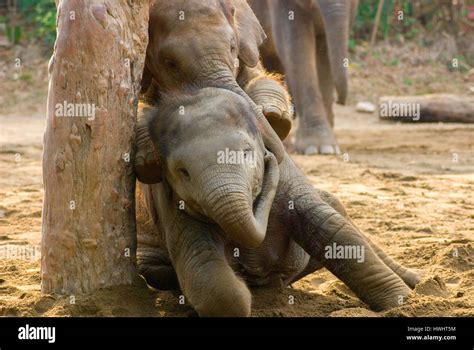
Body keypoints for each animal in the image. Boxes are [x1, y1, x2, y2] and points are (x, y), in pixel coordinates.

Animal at [135, 88, 420, 318]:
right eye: (183, 172)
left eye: (246, 153)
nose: (268, 157)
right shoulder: (170, 202)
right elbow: (206, 268)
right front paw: (243, 288)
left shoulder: (286, 173)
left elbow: (332, 229)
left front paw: (403, 304)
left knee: (337, 209)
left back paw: (417, 281)